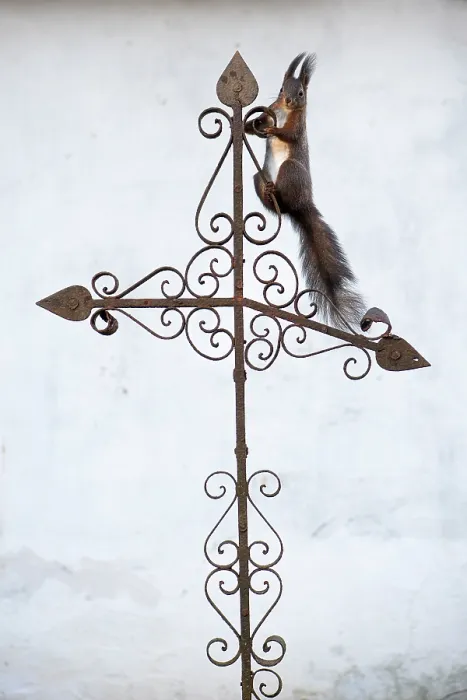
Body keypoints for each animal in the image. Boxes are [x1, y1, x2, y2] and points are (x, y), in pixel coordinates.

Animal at [244, 52, 366, 330]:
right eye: (281, 89)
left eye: (300, 93)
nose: (289, 100)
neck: (285, 111)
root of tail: (301, 207)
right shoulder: (273, 110)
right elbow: (257, 125)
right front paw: (251, 123)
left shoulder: (299, 125)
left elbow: (289, 134)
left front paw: (275, 130)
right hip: (258, 176)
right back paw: (269, 193)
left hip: (291, 172)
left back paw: (278, 194)